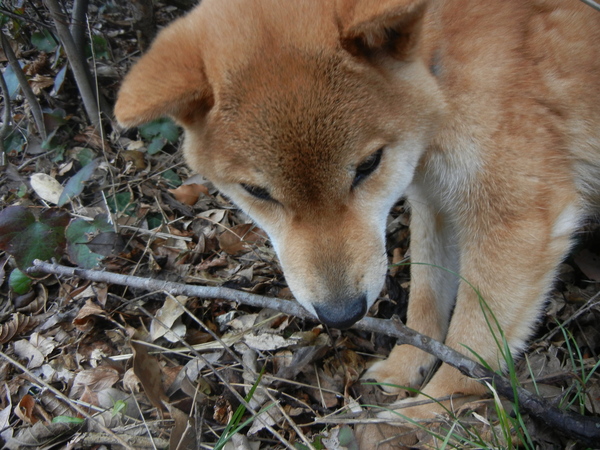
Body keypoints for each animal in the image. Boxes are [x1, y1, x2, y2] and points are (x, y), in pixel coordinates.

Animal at [116, 0, 600, 420]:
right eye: (257, 191)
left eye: (368, 165)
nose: (341, 315)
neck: (439, 69)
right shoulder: (435, 204)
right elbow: (425, 305)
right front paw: (406, 367)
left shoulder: (515, 222)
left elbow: (471, 346)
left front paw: (427, 413)